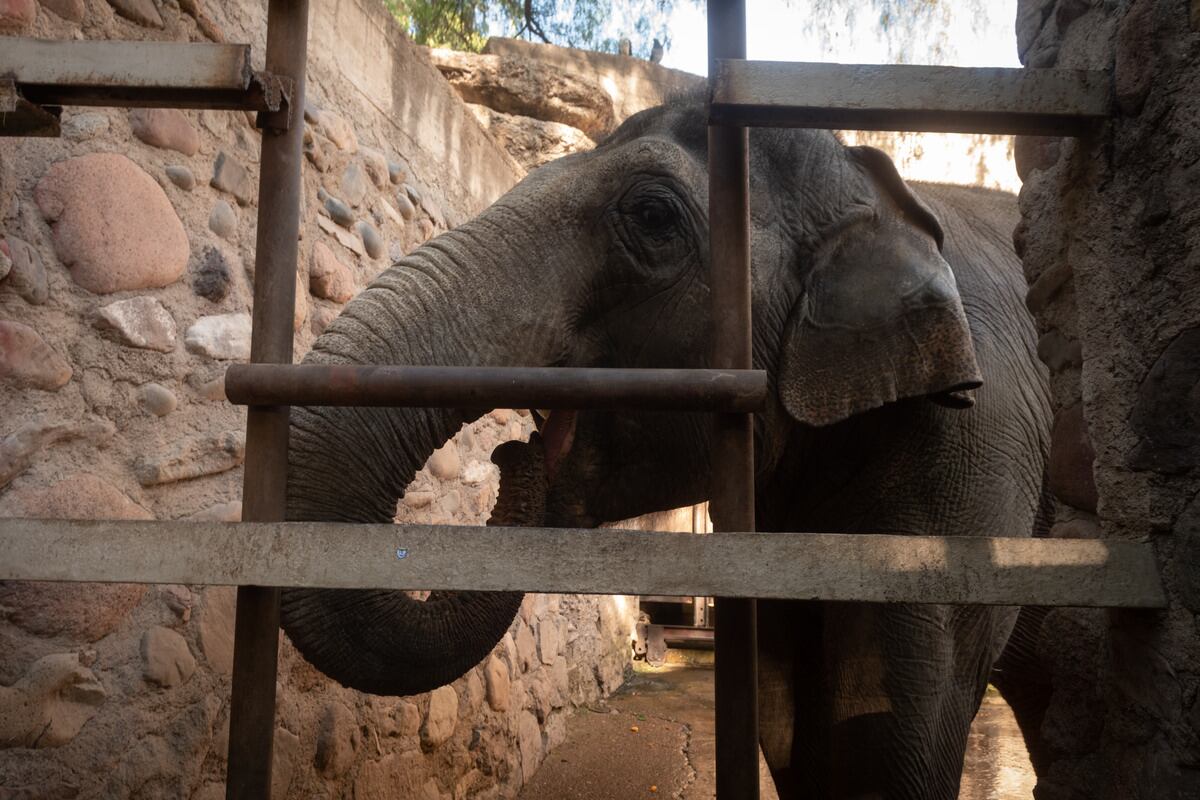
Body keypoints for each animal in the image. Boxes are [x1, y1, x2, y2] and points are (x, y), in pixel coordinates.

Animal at [278, 98, 1051, 800]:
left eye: (652, 217)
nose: (510, 455)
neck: (874, 188)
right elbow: (787, 710)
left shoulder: (973, 449)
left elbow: (889, 727)